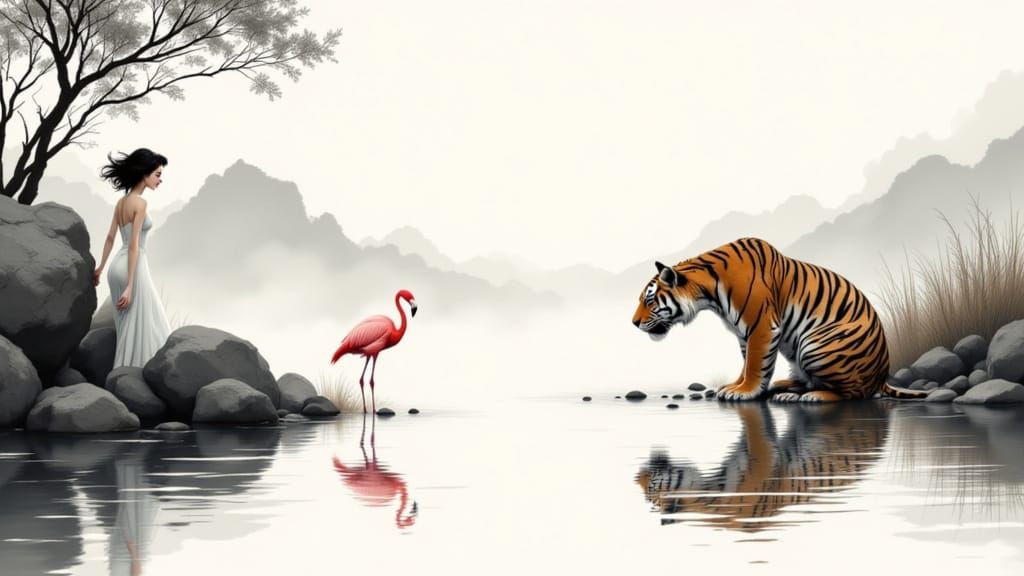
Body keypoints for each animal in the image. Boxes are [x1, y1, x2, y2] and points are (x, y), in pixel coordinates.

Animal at [631, 237, 926, 402]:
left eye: (649, 300)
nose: (633, 323)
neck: (709, 293)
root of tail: (882, 374)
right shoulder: (744, 333)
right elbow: (747, 363)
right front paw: (735, 385)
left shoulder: (761, 326)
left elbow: (755, 363)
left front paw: (743, 392)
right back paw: (785, 386)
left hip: (816, 344)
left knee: (852, 394)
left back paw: (810, 396)